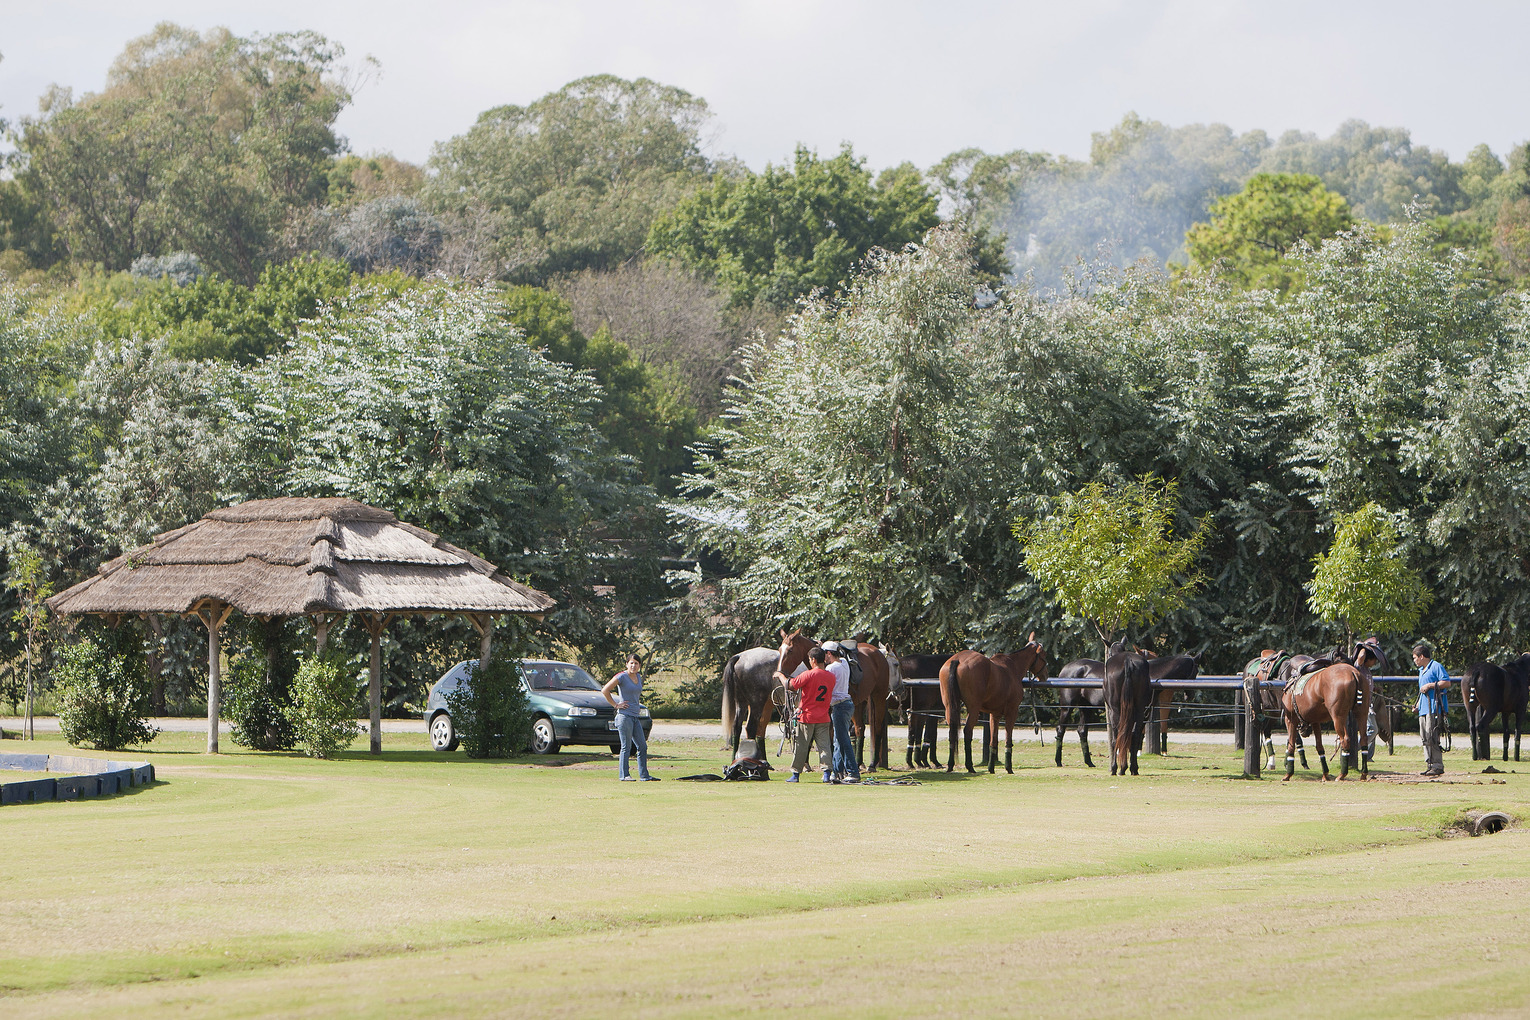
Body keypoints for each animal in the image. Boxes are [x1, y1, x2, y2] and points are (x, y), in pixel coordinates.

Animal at [777, 630, 893, 773]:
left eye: (791, 650)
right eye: (779, 649)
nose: (779, 674)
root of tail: (878, 653)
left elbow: (831, 735)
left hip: (879, 696)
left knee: (877, 727)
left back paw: (872, 764)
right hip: (859, 702)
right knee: (860, 728)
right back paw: (858, 762)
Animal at [930, 639, 1052, 773]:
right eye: (1044, 654)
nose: (1045, 675)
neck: (1012, 667)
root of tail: (957, 659)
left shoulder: (995, 714)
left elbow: (993, 740)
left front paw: (991, 768)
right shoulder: (1012, 711)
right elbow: (1008, 738)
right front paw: (1009, 768)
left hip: (950, 708)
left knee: (952, 732)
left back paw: (951, 765)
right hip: (974, 709)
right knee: (967, 731)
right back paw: (970, 766)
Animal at [1272, 651, 1370, 789]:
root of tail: (1353, 673)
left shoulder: (1290, 719)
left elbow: (1291, 744)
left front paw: (1288, 774)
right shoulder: (1315, 722)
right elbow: (1319, 747)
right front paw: (1325, 774)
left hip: (1337, 717)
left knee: (1345, 739)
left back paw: (1342, 774)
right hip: (1361, 714)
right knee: (1364, 739)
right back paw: (1363, 773)